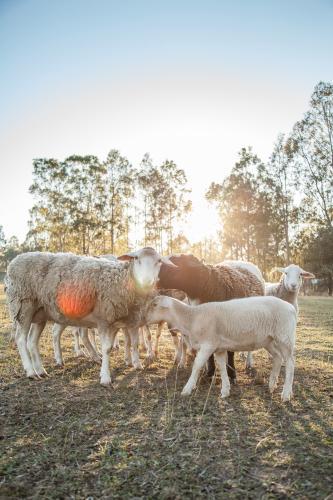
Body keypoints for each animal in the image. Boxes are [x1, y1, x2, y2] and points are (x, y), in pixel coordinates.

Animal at [144, 296, 294, 402]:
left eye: (154, 305)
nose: (143, 318)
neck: (191, 318)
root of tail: (290, 306)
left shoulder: (208, 345)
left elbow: (197, 366)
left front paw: (187, 389)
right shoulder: (219, 347)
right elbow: (222, 367)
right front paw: (225, 391)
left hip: (285, 337)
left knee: (290, 363)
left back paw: (286, 394)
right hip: (268, 340)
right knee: (277, 357)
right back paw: (271, 385)